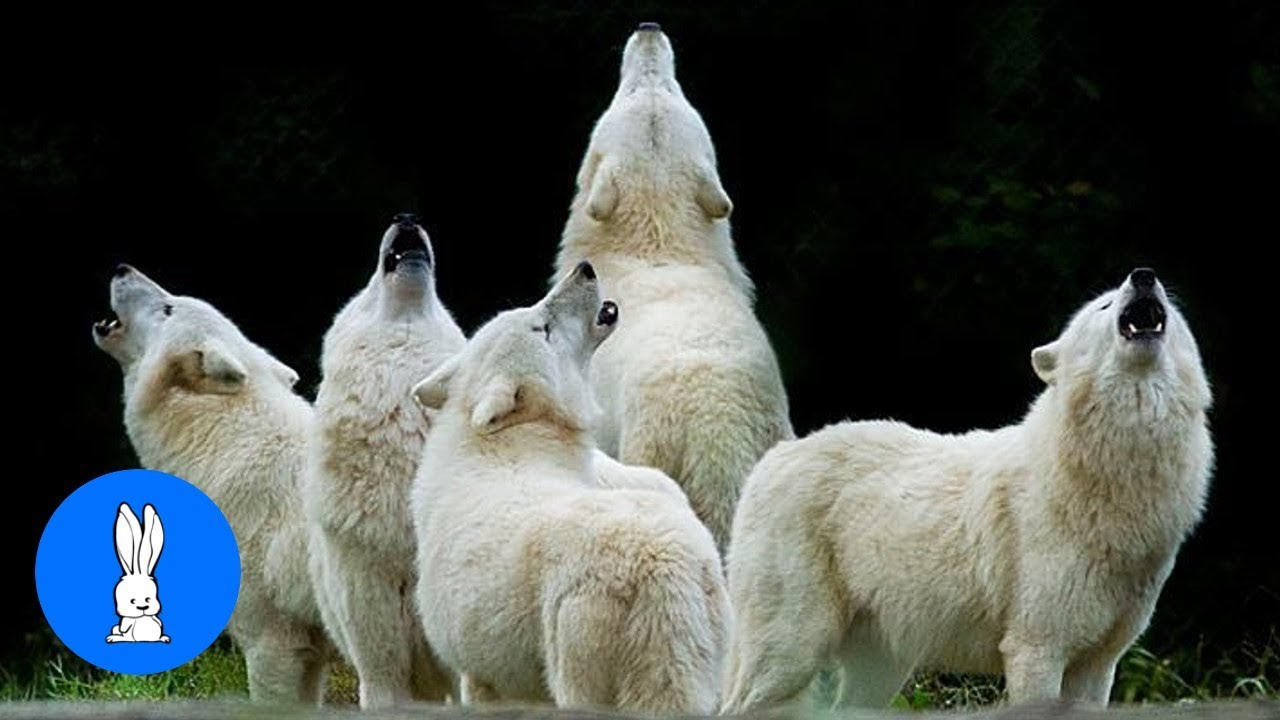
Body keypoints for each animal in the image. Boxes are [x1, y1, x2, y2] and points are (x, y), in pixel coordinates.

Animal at [409, 260, 732, 707]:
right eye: (542, 327)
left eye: (534, 314)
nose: (585, 269)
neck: (514, 439)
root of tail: (664, 572)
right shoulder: (482, 671)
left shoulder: (479, 669)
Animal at [558, 23, 788, 548]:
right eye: (636, 89)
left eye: (667, 88)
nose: (649, 29)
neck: (657, 241)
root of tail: (717, 427)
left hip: (649, 437)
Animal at [721, 267, 1208, 707]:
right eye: (1104, 306)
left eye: (1169, 306)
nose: (1144, 275)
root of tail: (773, 459)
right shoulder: (1036, 650)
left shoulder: (1099, 664)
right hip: (791, 655)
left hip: (877, 672)